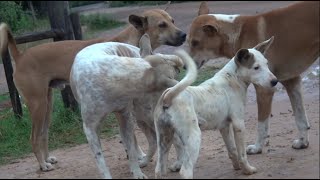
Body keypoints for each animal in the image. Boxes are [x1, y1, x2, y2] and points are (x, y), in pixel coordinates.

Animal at [0, 5, 185, 172]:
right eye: (162, 25)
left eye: (173, 21)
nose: (184, 35)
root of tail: (20, 56)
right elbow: (132, 140)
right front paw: (138, 156)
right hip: (38, 105)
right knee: (33, 137)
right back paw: (42, 164)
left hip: (47, 104)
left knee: (43, 134)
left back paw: (46, 159)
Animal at [154, 37, 278, 179]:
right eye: (256, 67)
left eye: (267, 64)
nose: (275, 81)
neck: (232, 79)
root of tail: (169, 95)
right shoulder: (239, 124)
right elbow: (242, 154)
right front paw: (247, 170)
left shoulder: (224, 127)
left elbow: (232, 150)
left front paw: (237, 167)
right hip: (193, 138)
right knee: (185, 171)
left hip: (164, 138)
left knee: (158, 169)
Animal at [186, 1, 318, 155]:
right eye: (188, 42)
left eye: (195, 42)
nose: (185, 66)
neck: (238, 33)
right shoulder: (292, 82)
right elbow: (300, 119)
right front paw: (303, 142)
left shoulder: (265, 89)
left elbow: (262, 125)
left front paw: (257, 147)